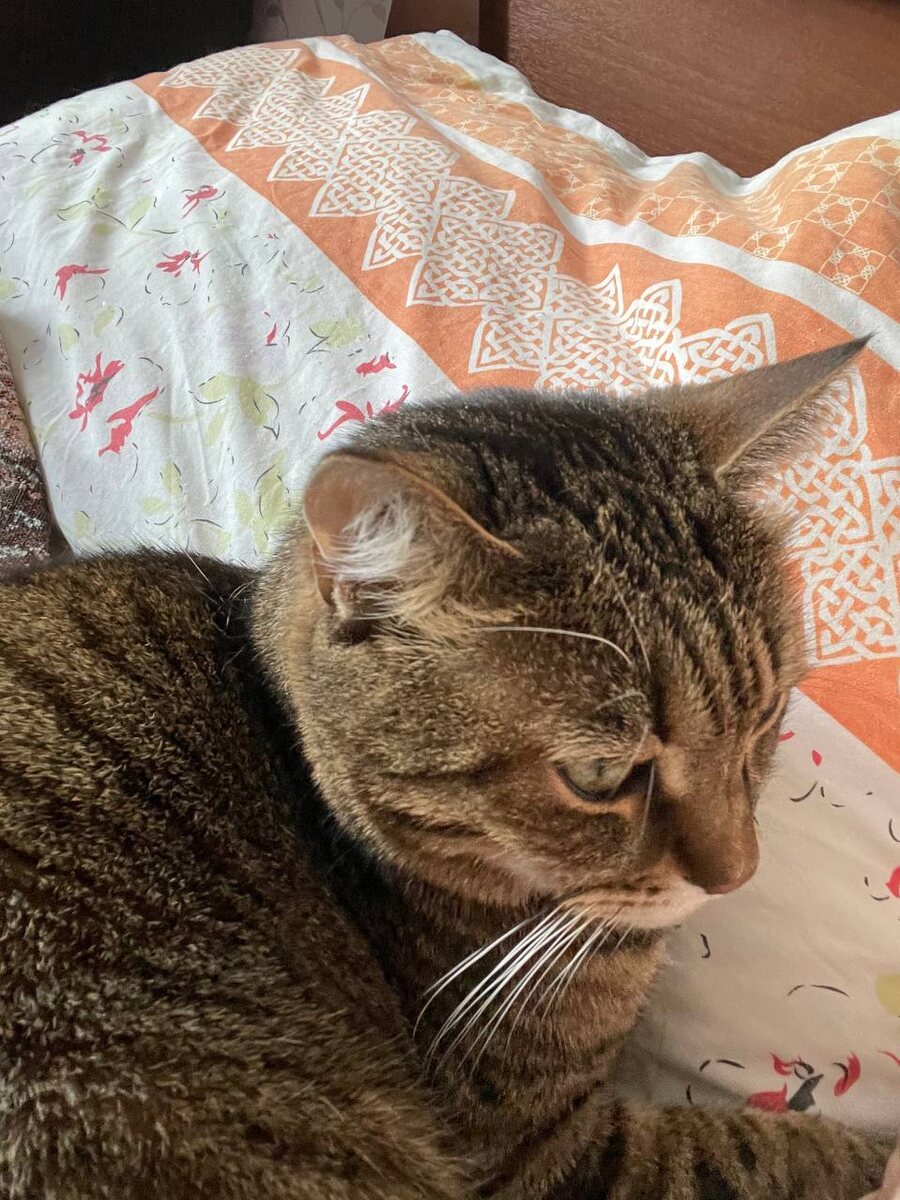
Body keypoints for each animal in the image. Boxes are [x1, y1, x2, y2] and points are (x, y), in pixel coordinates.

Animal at [0, 339, 891, 1200]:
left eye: (765, 718)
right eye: (597, 777)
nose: (738, 874)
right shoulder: (545, 1153)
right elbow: (756, 1151)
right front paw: (879, 1154)